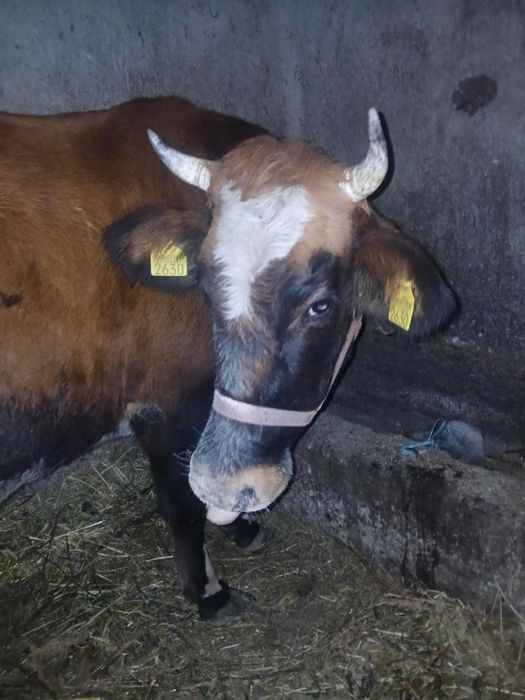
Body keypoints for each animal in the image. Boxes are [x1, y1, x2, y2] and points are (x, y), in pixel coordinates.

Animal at [0, 96, 455, 621]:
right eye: (203, 286)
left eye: (320, 305)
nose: (228, 486)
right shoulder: (169, 406)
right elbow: (180, 498)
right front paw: (210, 589)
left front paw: (238, 525)